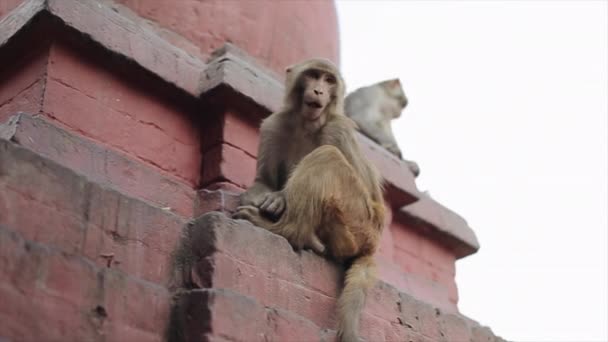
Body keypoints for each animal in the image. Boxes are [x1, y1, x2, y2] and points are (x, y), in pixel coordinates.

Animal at [233, 58, 384, 342]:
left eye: (329, 80)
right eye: (313, 76)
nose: (318, 90)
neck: (307, 123)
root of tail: (372, 244)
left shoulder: (339, 130)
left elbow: (371, 194)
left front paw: (278, 198)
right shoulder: (274, 124)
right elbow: (263, 181)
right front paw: (266, 194)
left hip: (358, 224)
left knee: (327, 156)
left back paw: (288, 231)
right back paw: (311, 239)